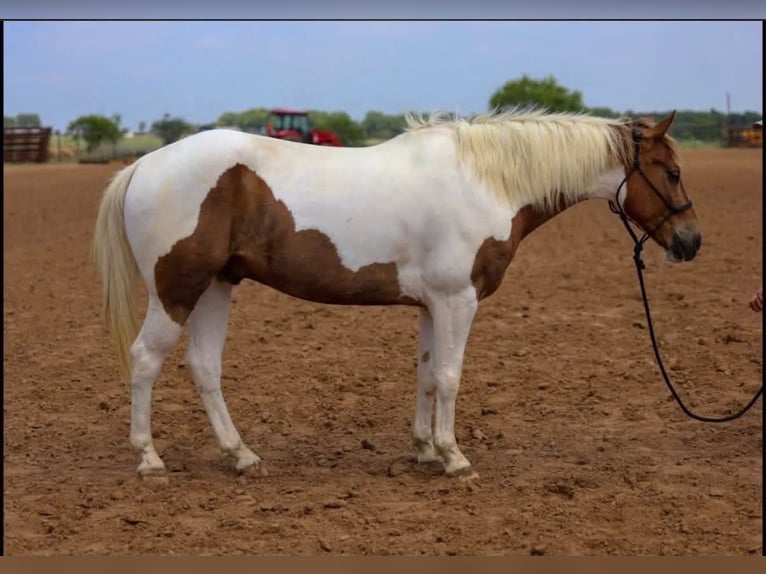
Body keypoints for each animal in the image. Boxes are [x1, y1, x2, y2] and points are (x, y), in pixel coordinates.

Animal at [93, 107, 700, 480]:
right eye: (670, 171)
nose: (691, 242)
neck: (483, 181)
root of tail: (145, 164)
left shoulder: (434, 305)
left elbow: (428, 375)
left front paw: (424, 450)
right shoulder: (458, 301)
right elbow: (451, 377)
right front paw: (454, 458)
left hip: (216, 286)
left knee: (204, 368)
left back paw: (241, 456)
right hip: (176, 290)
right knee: (144, 361)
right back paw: (149, 458)